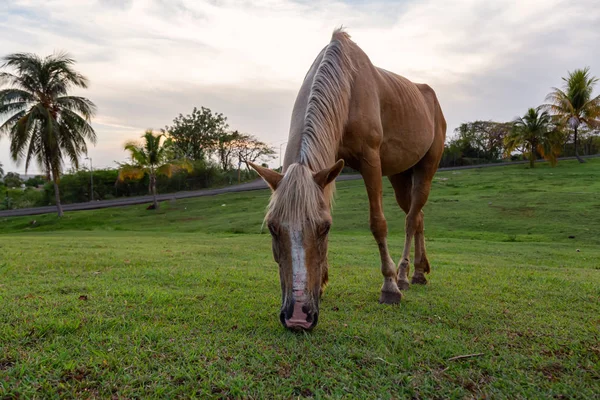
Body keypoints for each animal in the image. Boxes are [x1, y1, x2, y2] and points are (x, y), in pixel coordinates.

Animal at [248, 27, 446, 328]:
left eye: (324, 228)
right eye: (272, 227)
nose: (298, 318)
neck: (347, 86)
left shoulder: (371, 161)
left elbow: (378, 223)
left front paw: (389, 286)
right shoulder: (329, 167)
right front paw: (321, 284)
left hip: (426, 169)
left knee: (411, 219)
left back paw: (402, 275)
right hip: (399, 176)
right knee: (418, 215)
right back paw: (419, 272)